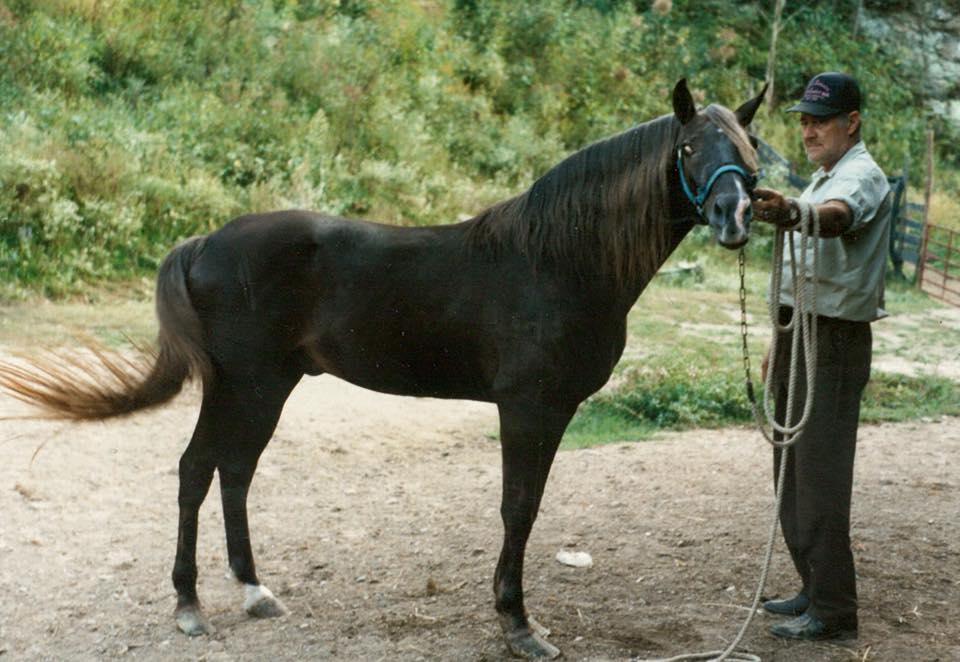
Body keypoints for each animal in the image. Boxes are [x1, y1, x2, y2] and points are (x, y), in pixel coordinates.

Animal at [0, 80, 764, 660]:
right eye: (689, 148)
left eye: (750, 153)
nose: (735, 217)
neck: (557, 261)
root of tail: (203, 242)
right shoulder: (530, 408)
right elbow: (519, 508)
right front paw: (518, 626)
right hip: (239, 384)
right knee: (197, 471)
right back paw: (190, 605)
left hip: (267, 387)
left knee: (234, 472)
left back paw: (254, 591)